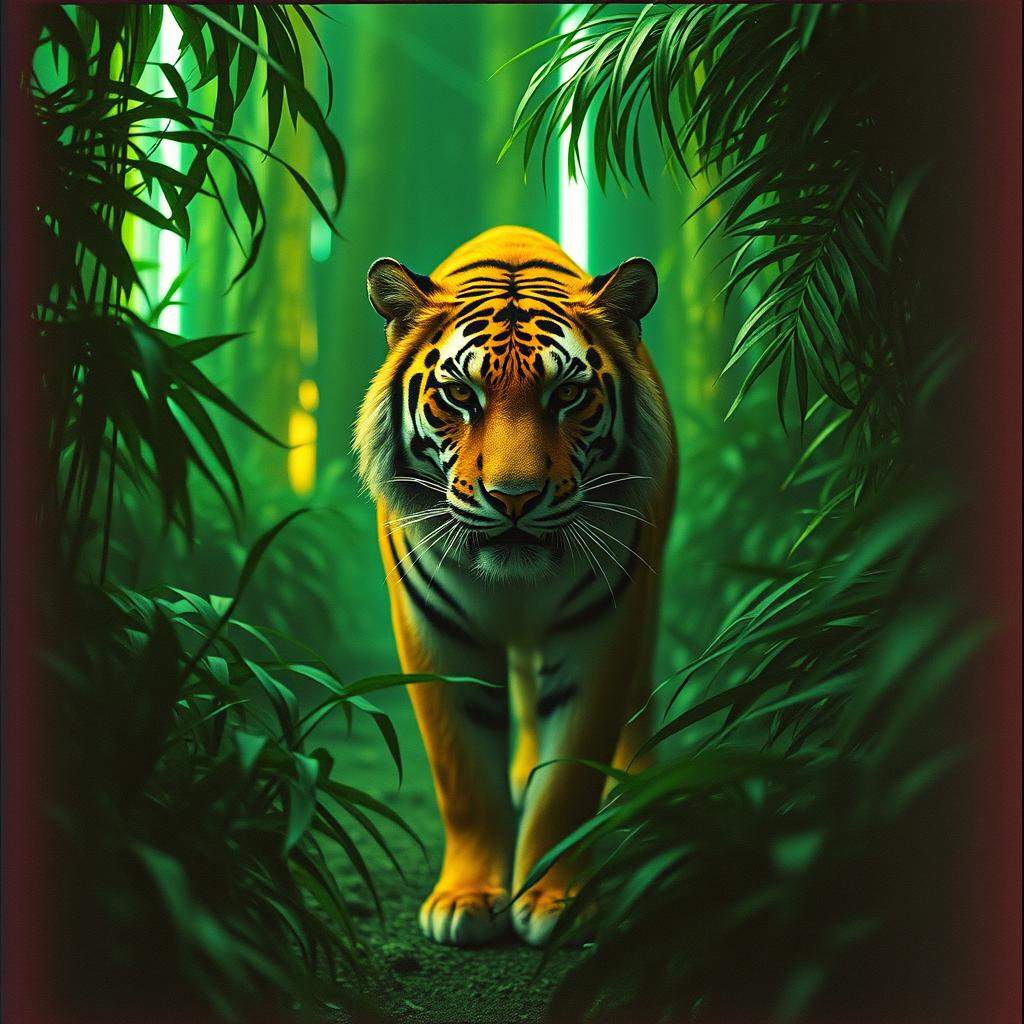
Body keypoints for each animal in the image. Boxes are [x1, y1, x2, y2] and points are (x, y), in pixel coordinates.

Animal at [354, 225, 676, 947]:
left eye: (568, 396)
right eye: (459, 397)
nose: (515, 498)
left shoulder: (599, 633)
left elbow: (570, 777)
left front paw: (557, 900)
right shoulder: (435, 636)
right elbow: (464, 779)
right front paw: (467, 900)